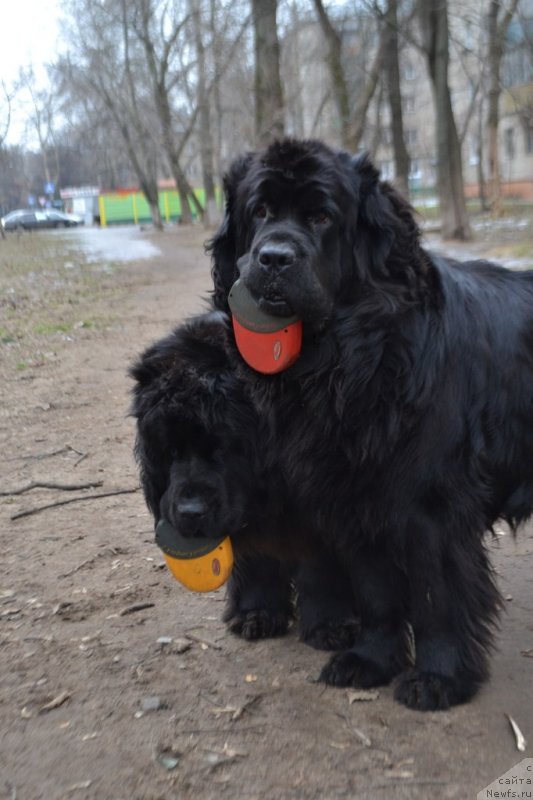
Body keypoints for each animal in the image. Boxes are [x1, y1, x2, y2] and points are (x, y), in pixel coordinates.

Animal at [205, 139, 533, 712]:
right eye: (260, 212)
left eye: (320, 217)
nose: (273, 258)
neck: (349, 361)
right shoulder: (355, 497)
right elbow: (378, 591)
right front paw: (371, 660)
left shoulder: (429, 507)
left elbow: (436, 597)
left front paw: (438, 677)